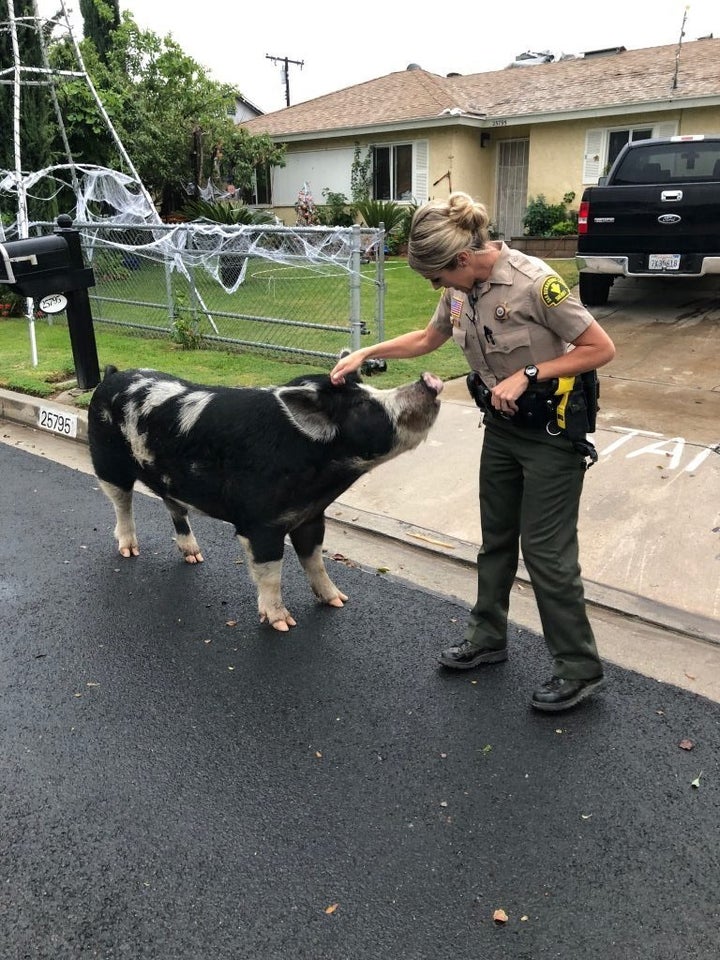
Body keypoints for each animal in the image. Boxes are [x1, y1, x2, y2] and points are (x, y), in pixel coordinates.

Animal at [87, 366, 442, 632]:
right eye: (363, 406)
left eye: (370, 388)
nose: (430, 381)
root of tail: (111, 377)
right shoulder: (259, 524)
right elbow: (271, 571)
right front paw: (283, 623)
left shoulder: (311, 516)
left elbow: (315, 560)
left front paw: (339, 600)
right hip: (107, 463)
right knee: (122, 504)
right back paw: (129, 551)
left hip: (168, 479)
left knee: (173, 505)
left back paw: (195, 557)